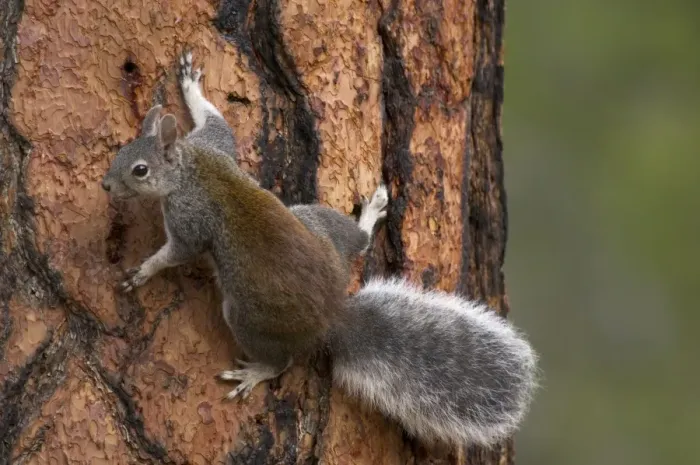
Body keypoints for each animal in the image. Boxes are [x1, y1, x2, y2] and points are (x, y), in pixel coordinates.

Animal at [101, 51, 538, 447]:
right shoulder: (214, 147)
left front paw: (143, 271)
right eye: (121, 152)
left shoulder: (191, 219)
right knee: (357, 243)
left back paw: (256, 372)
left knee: (282, 361)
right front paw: (191, 86)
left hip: (248, 315)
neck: (188, 170)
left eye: (140, 170)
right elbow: (218, 122)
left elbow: (178, 252)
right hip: (314, 222)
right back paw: (370, 216)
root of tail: (331, 314)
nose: (106, 185)